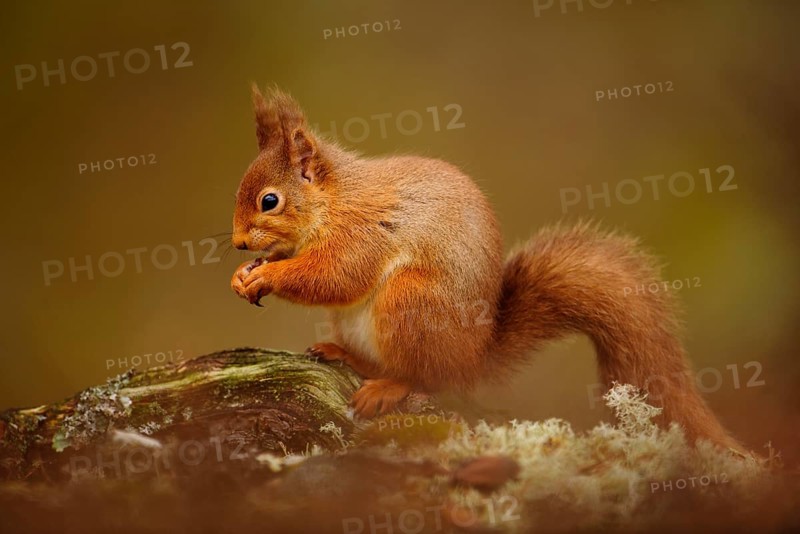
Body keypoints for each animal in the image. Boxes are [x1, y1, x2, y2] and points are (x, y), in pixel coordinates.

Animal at [230, 85, 740, 450]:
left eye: (269, 201)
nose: (237, 243)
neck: (334, 201)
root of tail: (474, 359)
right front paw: (243, 274)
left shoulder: (363, 233)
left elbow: (334, 276)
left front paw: (268, 275)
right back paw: (345, 355)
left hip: (410, 302)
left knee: (428, 379)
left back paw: (389, 385)